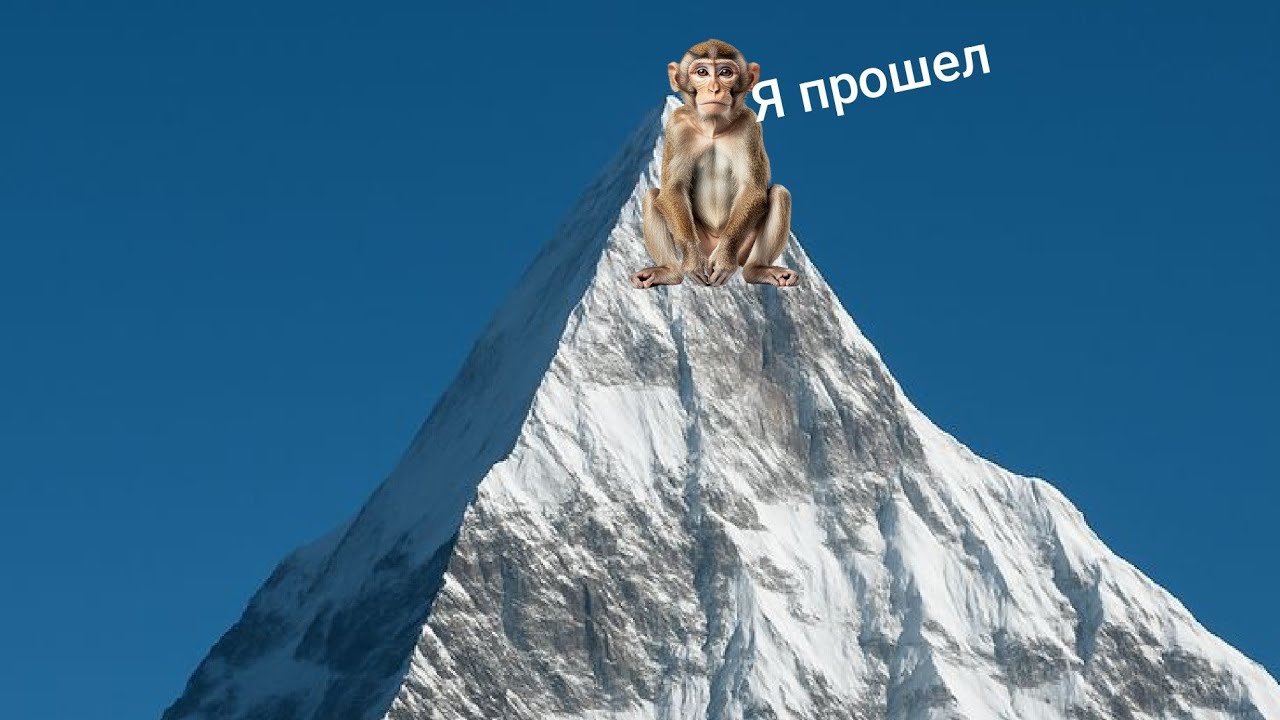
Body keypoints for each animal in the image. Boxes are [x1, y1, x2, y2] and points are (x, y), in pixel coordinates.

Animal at [631, 39, 798, 290]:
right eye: (702, 72)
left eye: (725, 73)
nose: (714, 89)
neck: (713, 128)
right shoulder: (677, 127)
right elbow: (673, 189)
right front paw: (692, 262)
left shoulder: (749, 126)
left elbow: (752, 189)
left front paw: (725, 259)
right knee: (653, 195)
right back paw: (670, 272)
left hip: (743, 248)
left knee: (779, 193)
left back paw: (757, 270)